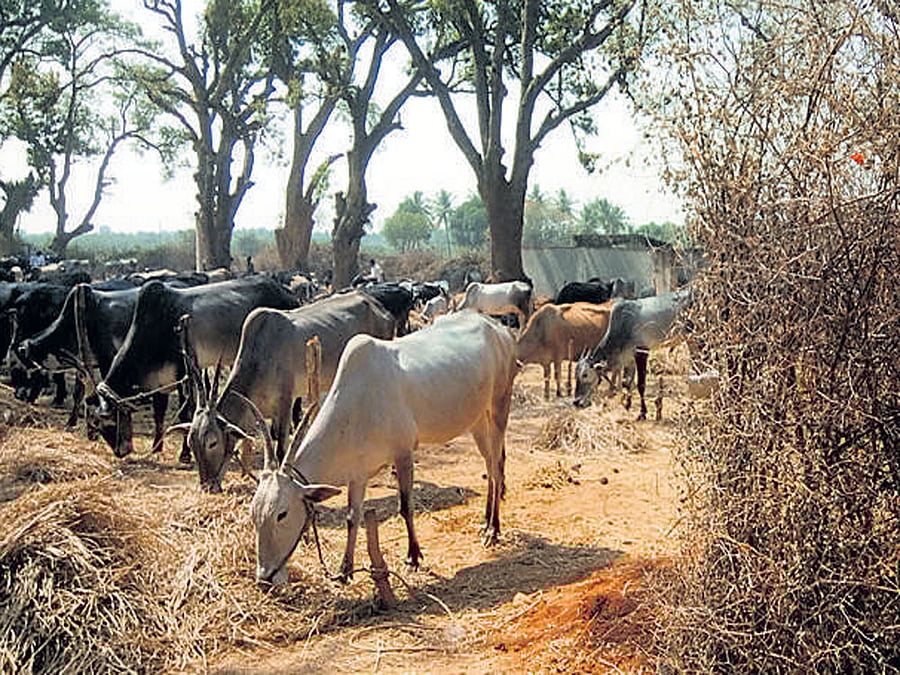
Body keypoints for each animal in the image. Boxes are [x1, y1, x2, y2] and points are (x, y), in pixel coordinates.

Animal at [96, 276, 298, 459]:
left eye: (110, 424)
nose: (120, 452)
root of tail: (288, 293)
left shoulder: (185, 372)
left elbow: (186, 413)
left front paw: (185, 454)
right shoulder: (161, 380)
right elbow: (158, 413)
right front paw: (156, 448)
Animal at [171, 290, 397, 492]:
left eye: (213, 443)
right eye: (191, 443)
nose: (207, 487)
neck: (259, 356)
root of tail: (379, 307)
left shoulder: (286, 402)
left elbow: (280, 448)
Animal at [249, 310, 518, 585]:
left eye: (281, 514)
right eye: (254, 514)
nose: (264, 577)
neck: (357, 402)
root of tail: (497, 328)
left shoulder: (404, 453)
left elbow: (406, 506)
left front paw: (413, 557)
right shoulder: (357, 474)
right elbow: (352, 516)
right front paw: (345, 570)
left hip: (499, 407)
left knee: (495, 468)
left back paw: (493, 529)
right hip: (478, 419)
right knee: (490, 463)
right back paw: (485, 522)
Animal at [573, 288, 693, 419]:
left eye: (585, 375)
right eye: (575, 375)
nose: (576, 402)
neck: (623, 324)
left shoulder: (641, 352)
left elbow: (641, 385)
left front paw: (642, 413)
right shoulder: (629, 359)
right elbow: (627, 383)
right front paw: (627, 405)